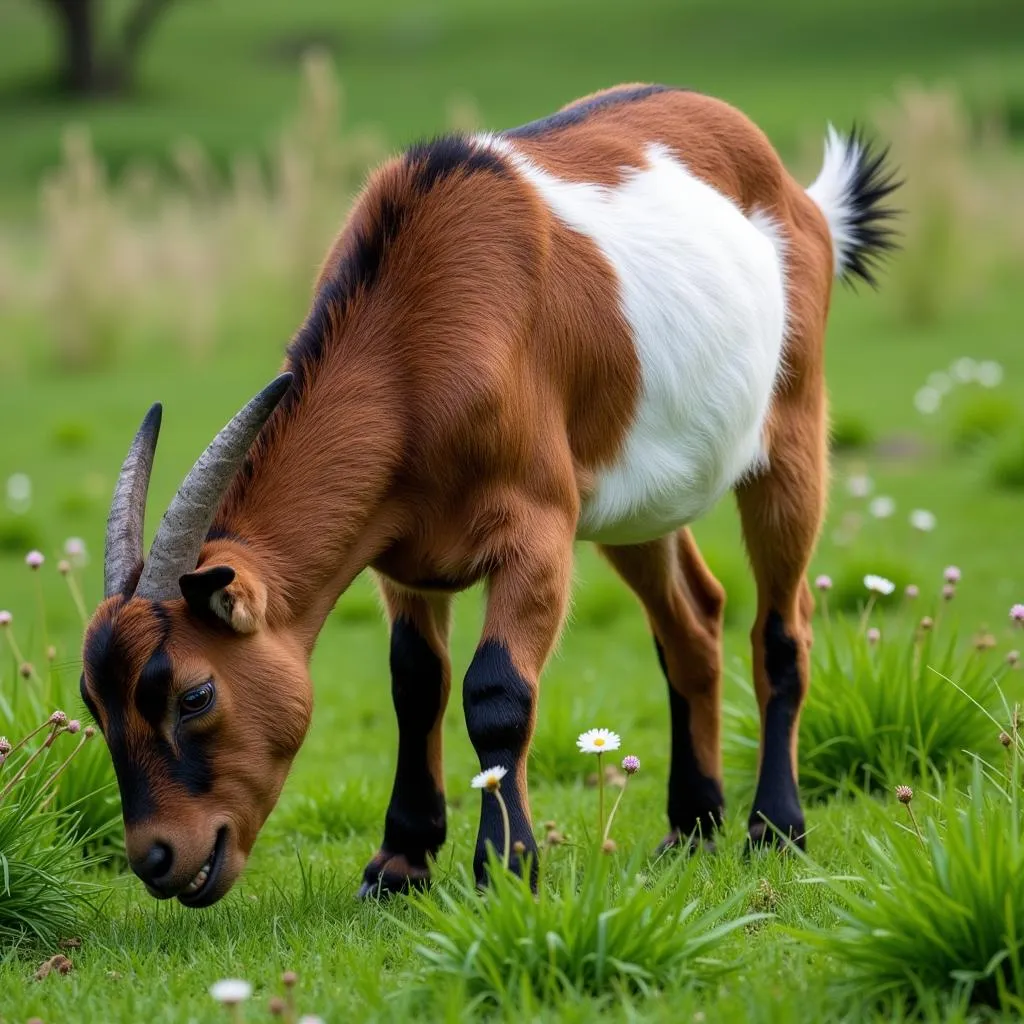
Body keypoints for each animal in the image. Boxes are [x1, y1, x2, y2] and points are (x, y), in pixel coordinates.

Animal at [79, 86, 897, 905]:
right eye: (94, 704)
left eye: (193, 695)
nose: (158, 858)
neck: (410, 344)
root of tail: (806, 201)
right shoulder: (401, 553)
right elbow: (416, 683)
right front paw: (400, 860)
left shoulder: (538, 530)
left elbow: (496, 691)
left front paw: (506, 865)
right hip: (638, 499)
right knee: (693, 623)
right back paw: (691, 828)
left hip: (792, 430)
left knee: (782, 627)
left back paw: (775, 827)